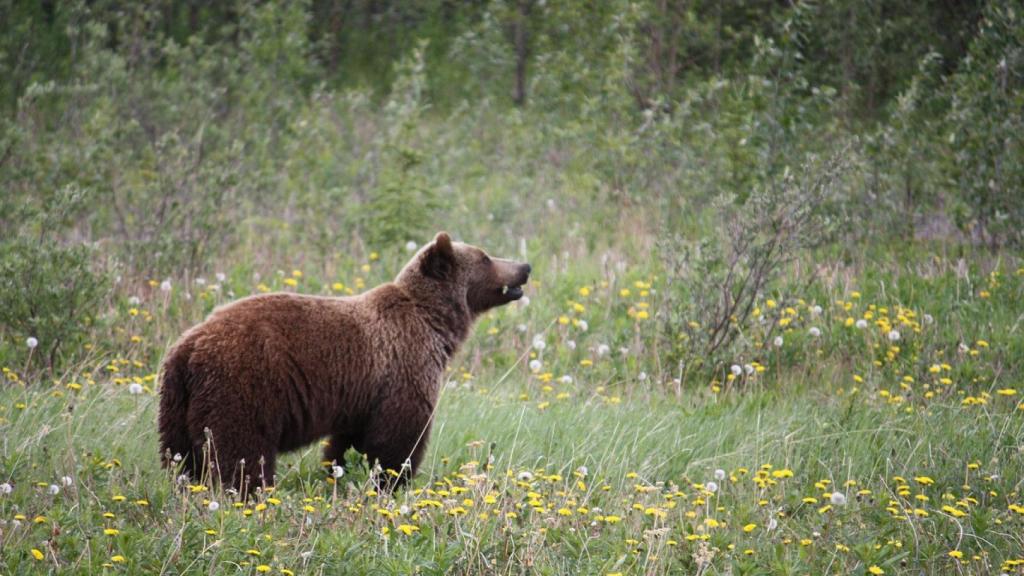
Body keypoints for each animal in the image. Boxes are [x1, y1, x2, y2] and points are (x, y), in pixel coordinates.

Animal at [158, 232, 530, 495]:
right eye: (485, 257)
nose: (524, 267)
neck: (434, 323)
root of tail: (190, 346)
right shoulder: (403, 367)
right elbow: (397, 438)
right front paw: (391, 482)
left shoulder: (362, 394)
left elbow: (348, 443)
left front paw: (340, 473)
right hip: (243, 385)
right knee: (241, 451)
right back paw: (249, 493)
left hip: (177, 402)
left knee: (179, 456)